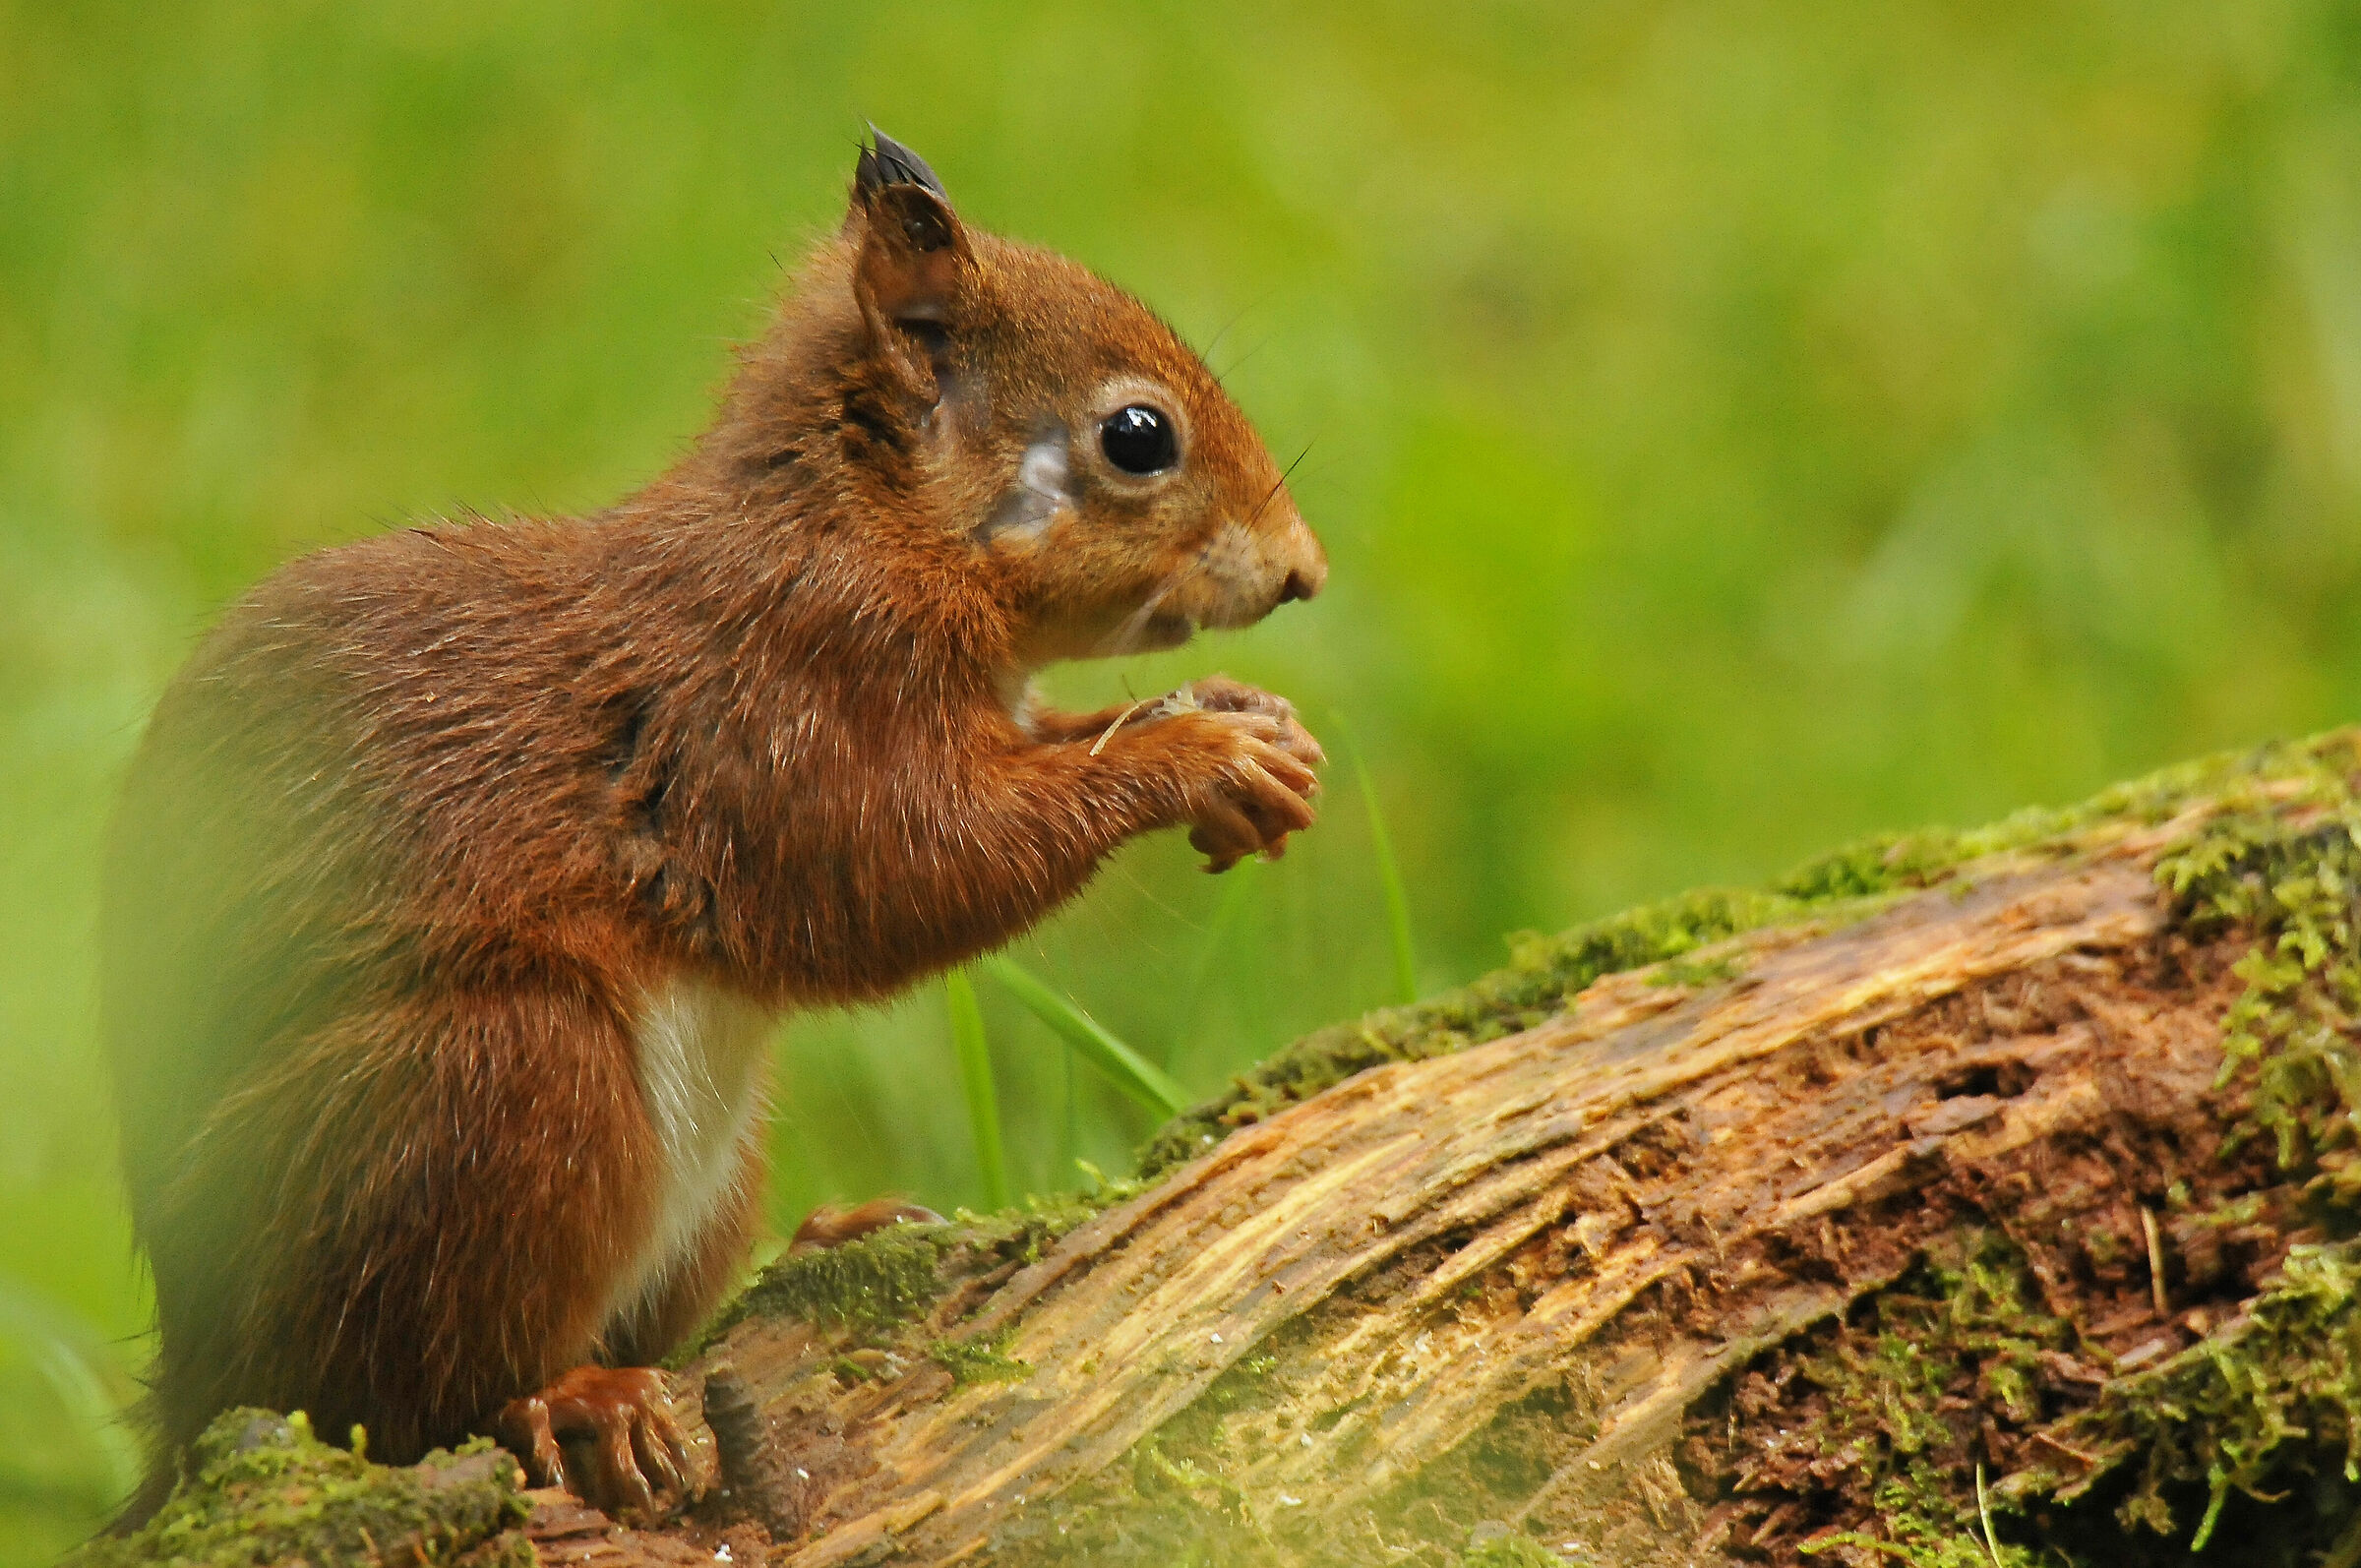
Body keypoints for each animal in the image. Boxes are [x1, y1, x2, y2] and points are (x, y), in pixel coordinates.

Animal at [99, 130, 1326, 1524]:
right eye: (1137, 435)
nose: (1304, 569)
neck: (866, 527)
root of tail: (195, 1385)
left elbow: (1058, 747)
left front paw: (1242, 719)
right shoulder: (771, 718)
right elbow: (907, 874)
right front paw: (1197, 757)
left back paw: (829, 1238)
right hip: (491, 1094)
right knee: (407, 1391)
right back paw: (575, 1397)